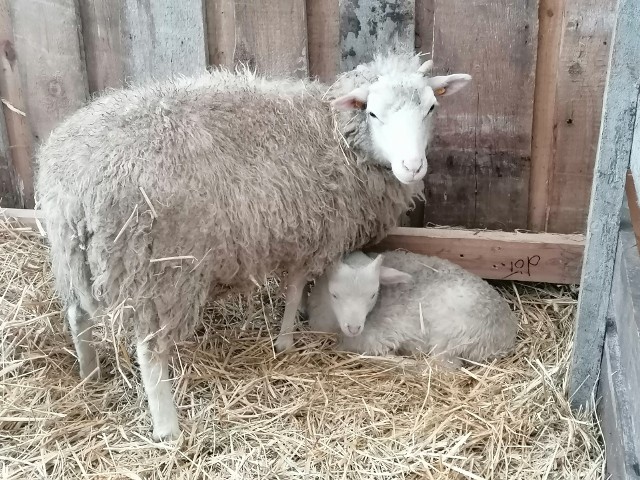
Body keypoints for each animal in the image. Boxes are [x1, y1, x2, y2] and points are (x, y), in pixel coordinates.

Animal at [36, 47, 476, 440]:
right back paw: (167, 427)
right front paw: (286, 341)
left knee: (76, 312)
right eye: (372, 112)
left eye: (431, 108)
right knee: (149, 348)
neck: (335, 134)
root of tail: (78, 183)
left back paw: (89, 374)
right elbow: (296, 288)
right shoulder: (313, 233)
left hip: (73, 254)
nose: (412, 167)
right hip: (157, 267)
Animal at [302, 249, 516, 366]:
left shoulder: (376, 335)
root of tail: (505, 338)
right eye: (334, 294)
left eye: (373, 294)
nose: (354, 328)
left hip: (451, 336)